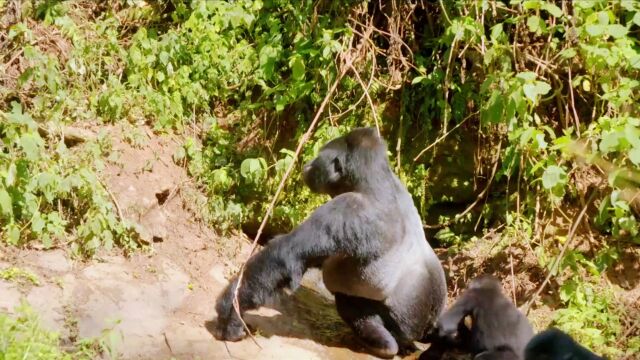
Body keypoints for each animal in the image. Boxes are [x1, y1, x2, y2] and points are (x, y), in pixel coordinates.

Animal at [212, 127, 448, 358]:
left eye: (319, 156)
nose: (308, 163)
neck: (376, 181)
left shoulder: (346, 208)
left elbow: (284, 256)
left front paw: (231, 314)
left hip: (403, 327)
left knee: (347, 300)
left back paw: (381, 343)